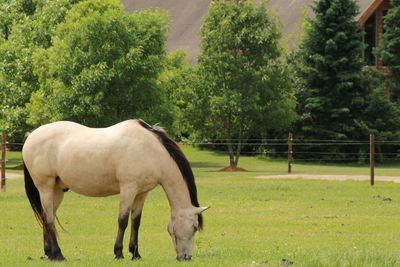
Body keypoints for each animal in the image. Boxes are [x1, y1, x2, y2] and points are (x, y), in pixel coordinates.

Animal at [22, 119, 209, 262]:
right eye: (194, 227)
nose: (186, 257)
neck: (150, 150)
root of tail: (31, 135)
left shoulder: (141, 193)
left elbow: (136, 222)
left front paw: (135, 253)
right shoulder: (128, 188)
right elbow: (123, 220)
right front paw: (118, 253)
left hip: (57, 190)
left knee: (46, 217)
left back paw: (49, 253)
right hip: (46, 188)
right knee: (49, 219)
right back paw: (58, 255)